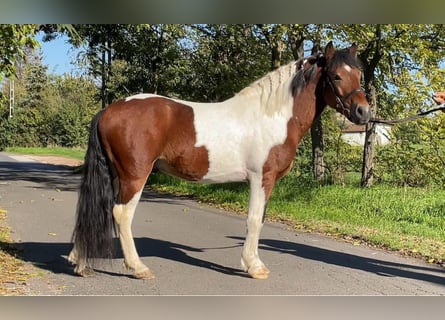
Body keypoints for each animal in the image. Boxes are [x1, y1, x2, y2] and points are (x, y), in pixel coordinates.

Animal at [67, 42, 370, 280]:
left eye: (359, 74)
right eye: (336, 76)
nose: (363, 112)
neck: (273, 115)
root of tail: (109, 110)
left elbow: (259, 219)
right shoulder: (262, 178)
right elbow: (254, 220)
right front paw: (254, 266)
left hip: (116, 174)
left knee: (99, 210)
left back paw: (80, 262)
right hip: (134, 175)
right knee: (121, 213)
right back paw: (138, 267)